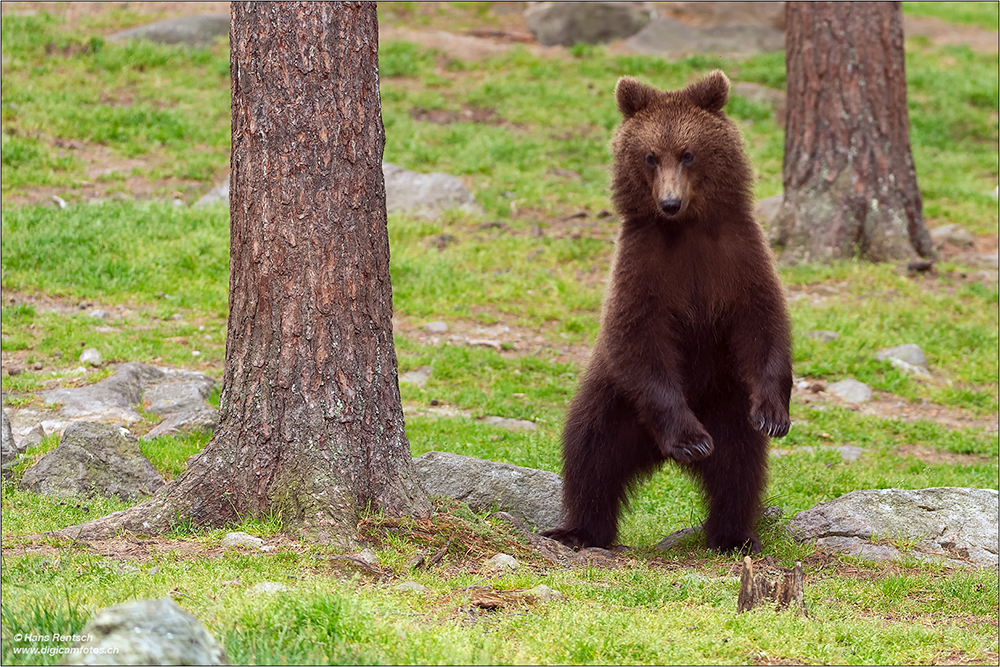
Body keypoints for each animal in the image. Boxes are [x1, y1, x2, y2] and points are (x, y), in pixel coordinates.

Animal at [544, 70, 792, 556]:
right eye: (650, 156)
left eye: (689, 153)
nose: (669, 202)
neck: (687, 228)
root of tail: (653, 452)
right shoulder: (645, 266)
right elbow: (638, 335)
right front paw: (691, 440)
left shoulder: (738, 258)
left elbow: (763, 321)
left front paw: (773, 413)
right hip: (616, 402)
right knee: (589, 452)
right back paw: (581, 530)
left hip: (725, 400)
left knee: (739, 468)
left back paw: (733, 534)